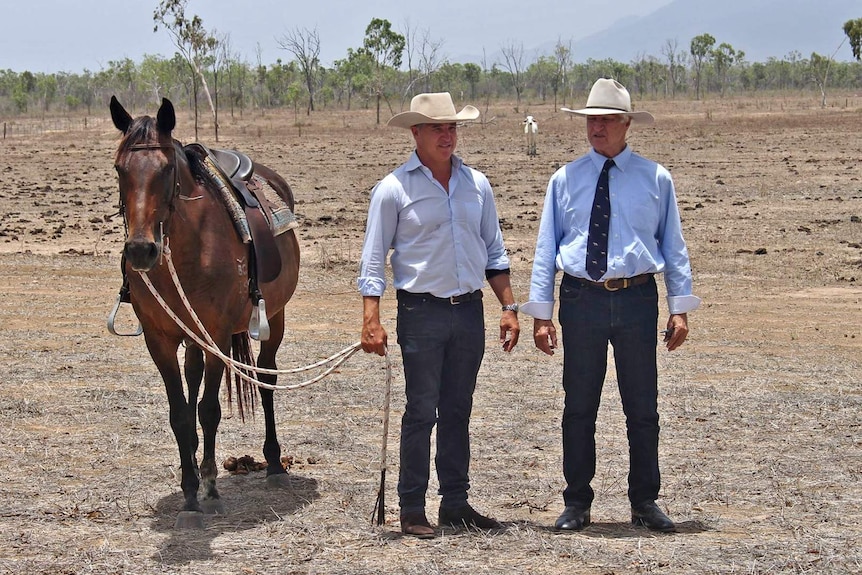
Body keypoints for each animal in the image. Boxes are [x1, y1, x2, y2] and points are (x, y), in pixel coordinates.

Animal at [109, 95, 302, 532]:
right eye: (119, 169)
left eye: (166, 169)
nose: (141, 250)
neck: (187, 250)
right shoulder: (159, 339)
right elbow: (181, 414)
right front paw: (189, 493)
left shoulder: (216, 334)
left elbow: (209, 410)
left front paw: (211, 489)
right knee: (194, 377)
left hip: (274, 319)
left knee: (266, 380)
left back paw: (274, 465)